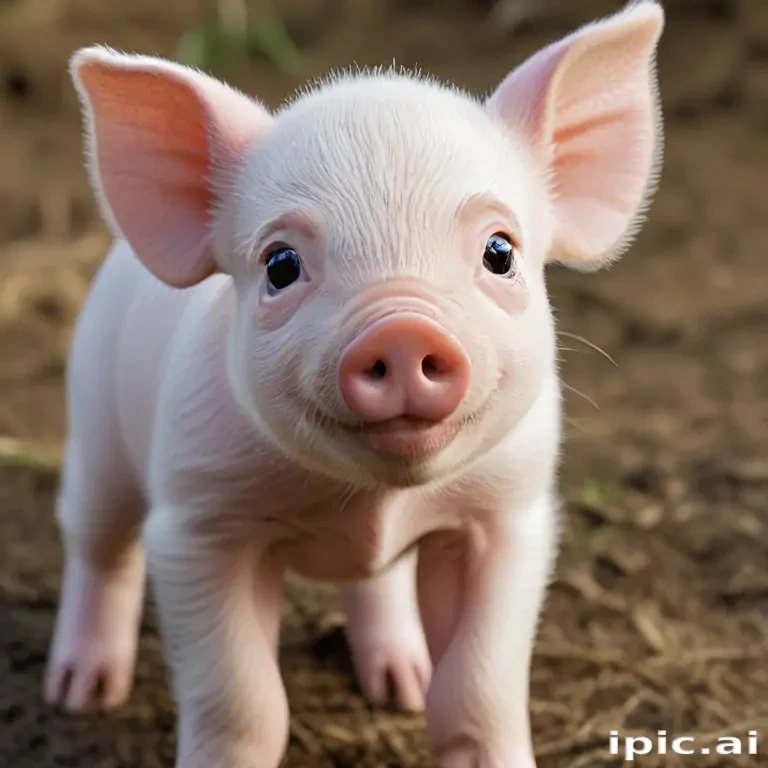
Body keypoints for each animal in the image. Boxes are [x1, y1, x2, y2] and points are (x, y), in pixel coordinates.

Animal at [43, 2, 664, 766]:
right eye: (280, 265)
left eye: (500, 252)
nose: (402, 331)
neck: (371, 500)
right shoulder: (196, 522)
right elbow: (242, 701)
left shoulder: (510, 513)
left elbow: (479, 689)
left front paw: (440, 706)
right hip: (94, 422)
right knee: (96, 545)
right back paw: (79, 693)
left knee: (380, 582)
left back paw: (402, 683)